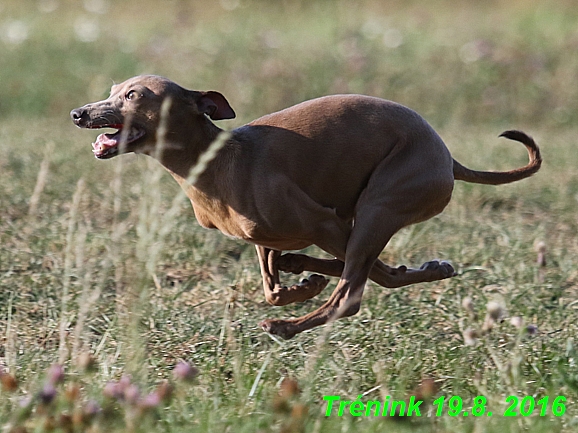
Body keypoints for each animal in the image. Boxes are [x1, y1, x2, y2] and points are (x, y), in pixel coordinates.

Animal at [71, 75, 540, 338]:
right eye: (112, 91)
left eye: (133, 95)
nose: (78, 113)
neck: (217, 160)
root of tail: (449, 159)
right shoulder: (266, 235)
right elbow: (271, 286)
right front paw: (298, 284)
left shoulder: (321, 221)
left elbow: (365, 276)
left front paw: (299, 292)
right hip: (361, 214)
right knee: (369, 270)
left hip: (377, 207)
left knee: (355, 290)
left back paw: (287, 325)